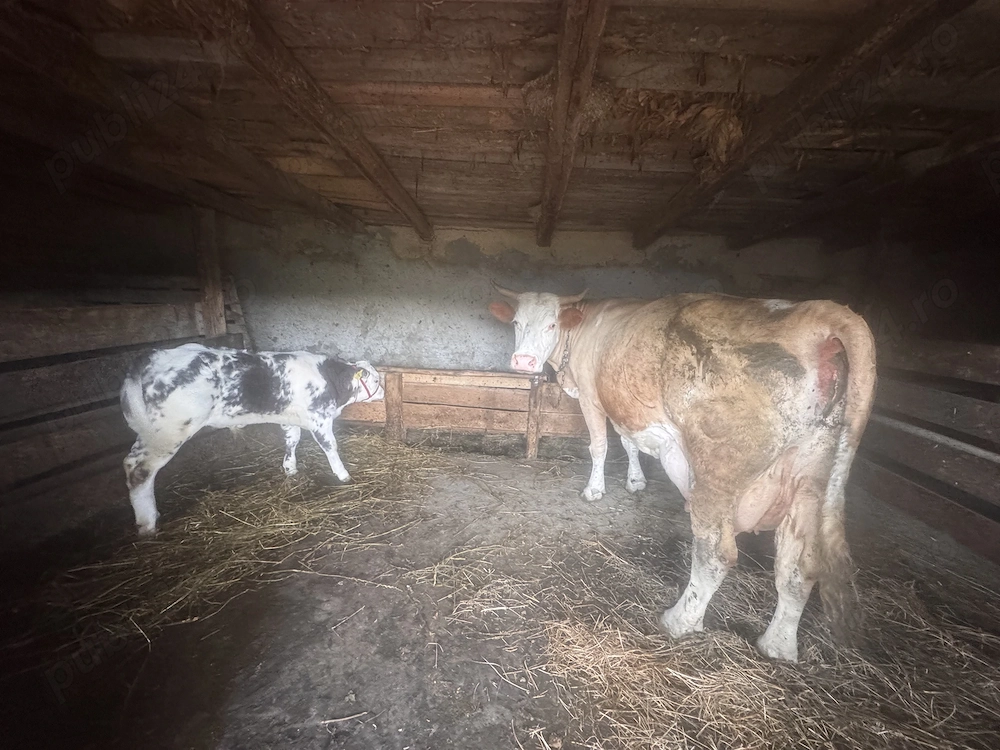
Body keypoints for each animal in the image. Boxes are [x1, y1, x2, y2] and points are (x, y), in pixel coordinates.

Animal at [120, 343, 384, 536]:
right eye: (376, 380)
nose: (383, 391)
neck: (331, 380)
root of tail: (154, 355)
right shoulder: (319, 418)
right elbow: (330, 446)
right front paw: (343, 475)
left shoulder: (290, 417)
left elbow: (292, 439)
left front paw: (290, 468)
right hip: (169, 431)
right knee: (139, 470)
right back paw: (147, 522)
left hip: (149, 432)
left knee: (131, 462)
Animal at [488, 283, 876, 662]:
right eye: (517, 322)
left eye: (552, 324)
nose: (523, 361)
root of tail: (815, 311)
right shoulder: (626, 408)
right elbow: (629, 443)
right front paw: (635, 481)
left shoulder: (591, 396)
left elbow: (600, 445)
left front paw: (595, 490)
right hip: (811, 474)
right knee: (799, 567)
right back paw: (777, 646)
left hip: (717, 469)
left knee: (716, 554)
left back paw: (679, 621)